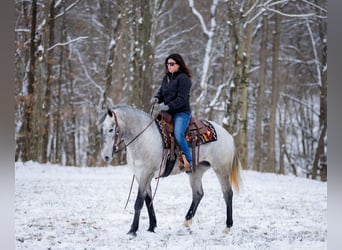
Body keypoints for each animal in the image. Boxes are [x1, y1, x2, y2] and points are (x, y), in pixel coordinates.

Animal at [97, 104, 242, 237]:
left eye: (111, 129)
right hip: (196, 171)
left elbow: (139, 202)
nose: (106, 156)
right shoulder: (140, 176)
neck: (144, 138)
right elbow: (148, 200)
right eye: (101, 129)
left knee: (227, 193)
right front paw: (152, 227)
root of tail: (228, 135)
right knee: (198, 194)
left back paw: (227, 226)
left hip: (221, 170)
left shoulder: (146, 174)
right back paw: (187, 220)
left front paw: (132, 230)